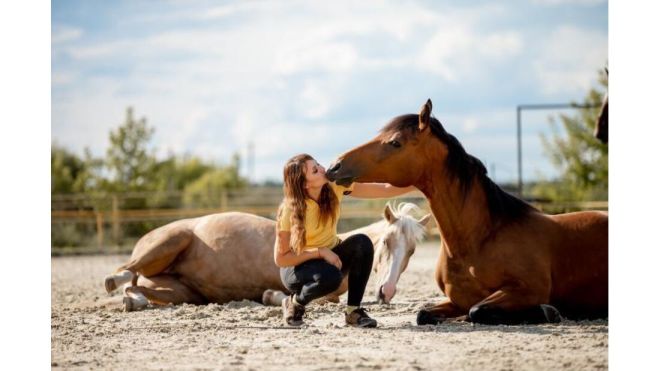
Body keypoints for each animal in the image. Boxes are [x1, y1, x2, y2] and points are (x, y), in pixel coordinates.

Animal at [104, 203, 430, 310]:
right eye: (386, 241)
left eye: (412, 251)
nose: (386, 292)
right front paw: (273, 297)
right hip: (170, 241)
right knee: (127, 271)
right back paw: (114, 281)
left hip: (181, 292)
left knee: (138, 288)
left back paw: (134, 301)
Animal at [324, 99, 608, 326]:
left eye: (395, 143)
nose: (335, 166)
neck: (479, 240)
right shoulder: (456, 299)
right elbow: (425, 313)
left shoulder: (527, 290)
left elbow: (477, 311)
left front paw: (549, 311)